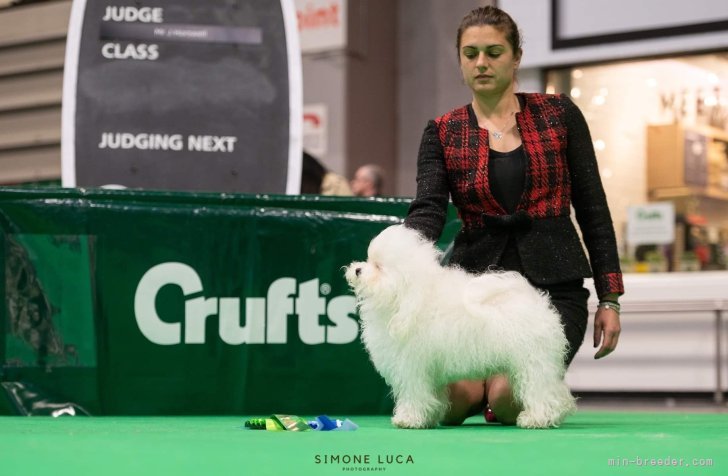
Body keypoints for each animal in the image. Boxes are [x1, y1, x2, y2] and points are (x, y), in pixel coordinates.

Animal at [344, 225, 576, 430]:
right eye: (369, 260)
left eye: (379, 267)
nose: (357, 269)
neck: (406, 298)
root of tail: (535, 301)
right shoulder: (429, 372)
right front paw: (427, 418)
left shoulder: (413, 368)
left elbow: (414, 394)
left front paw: (408, 419)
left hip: (532, 362)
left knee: (541, 391)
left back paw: (537, 419)